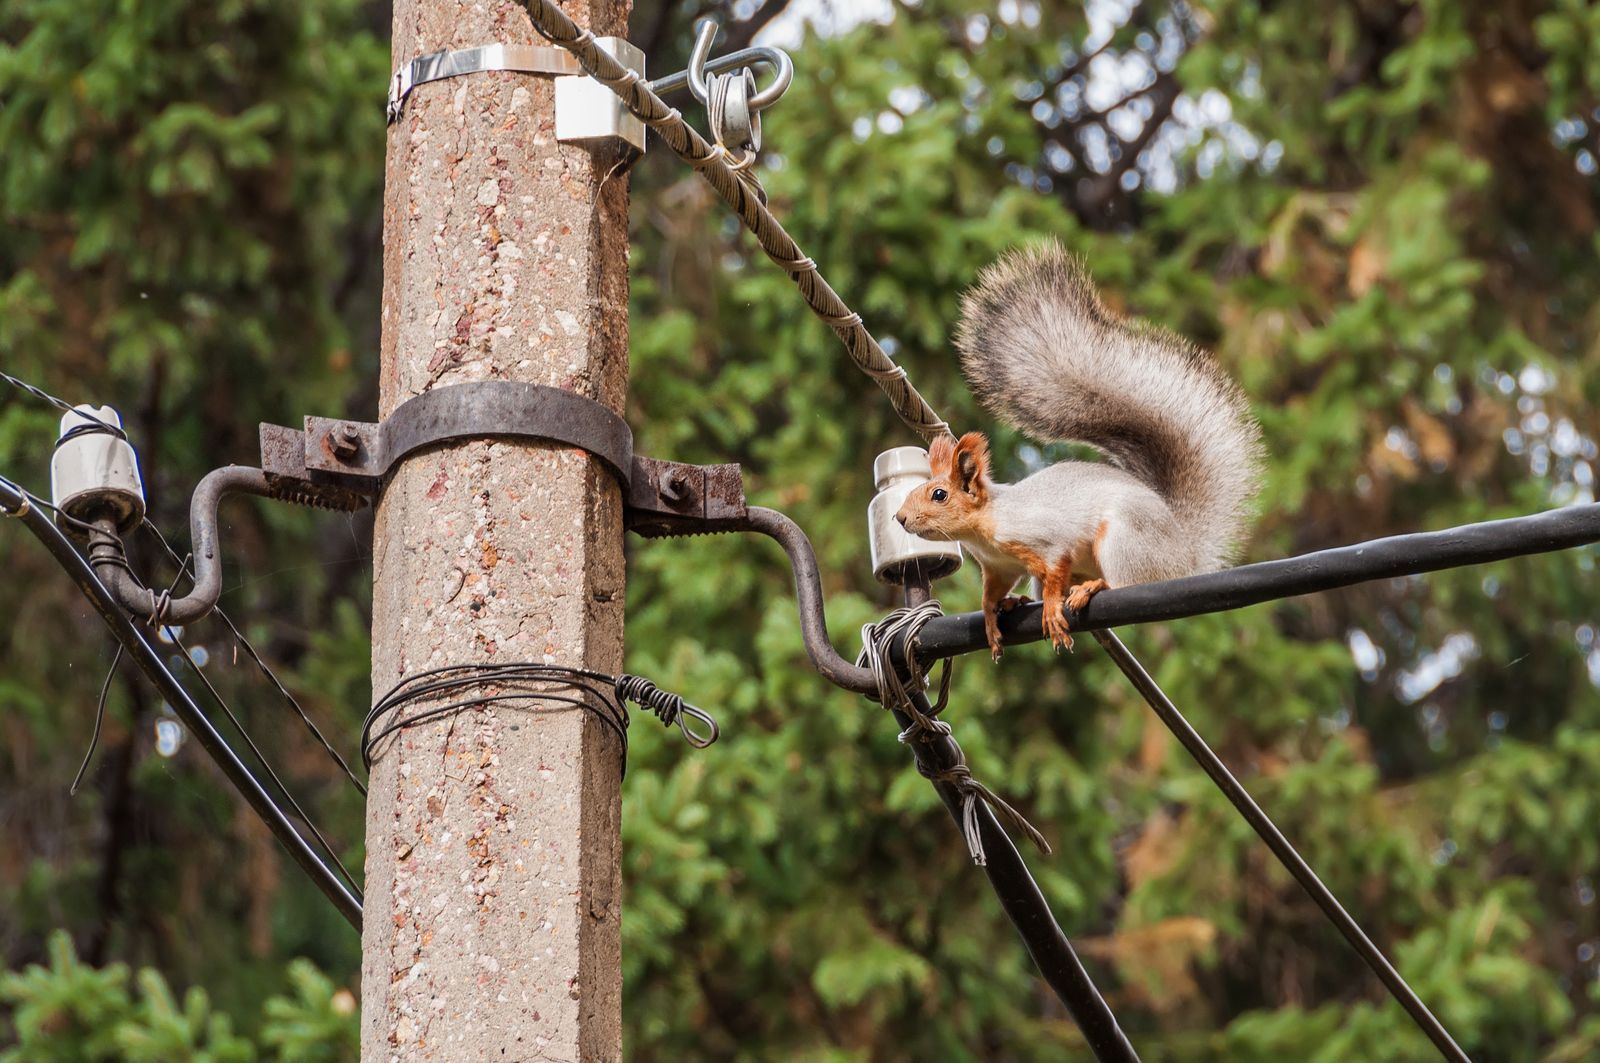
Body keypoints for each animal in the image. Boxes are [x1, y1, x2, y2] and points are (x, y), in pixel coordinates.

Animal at [896, 244, 1254, 659]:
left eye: (939, 494)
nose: (900, 518)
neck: (986, 527)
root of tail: (1186, 555)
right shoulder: (999, 567)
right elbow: (990, 595)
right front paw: (991, 618)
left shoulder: (1047, 539)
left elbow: (1055, 569)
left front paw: (1051, 610)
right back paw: (1023, 602)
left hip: (1126, 539)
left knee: (1126, 582)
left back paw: (1094, 588)